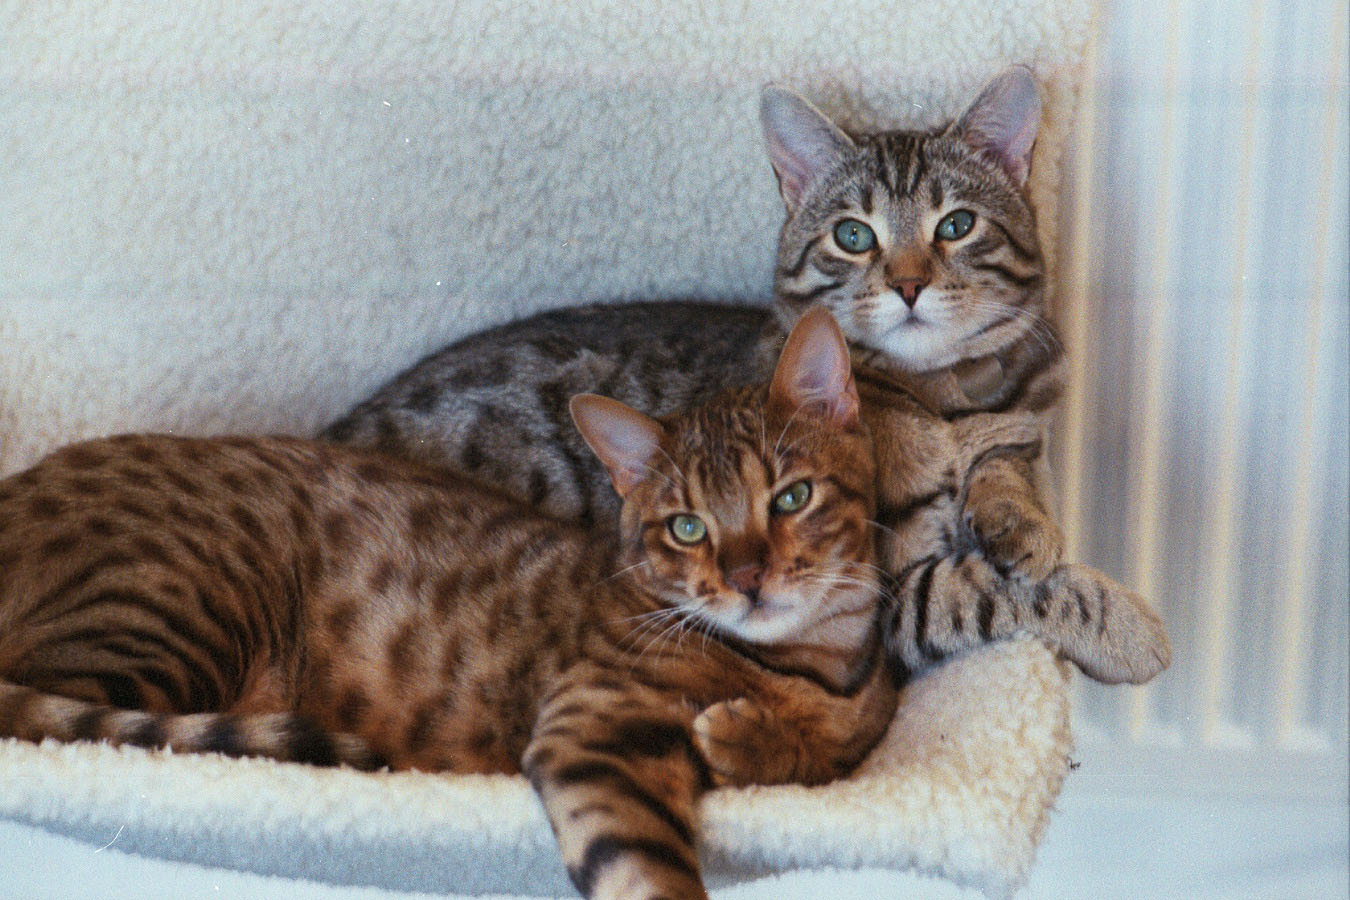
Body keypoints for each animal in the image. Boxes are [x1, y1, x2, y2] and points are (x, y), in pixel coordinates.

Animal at [0, 306, 1063, 895]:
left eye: (791, 498)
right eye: (686, 527)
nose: (750, 576)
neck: (816, 658)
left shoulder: (857, 716)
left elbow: (831, 745)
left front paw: (756, 735)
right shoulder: (593, 727)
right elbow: (648, 870)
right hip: (171, 616)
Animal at [326, 70, 1171, 685]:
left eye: (957, 225)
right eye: (853, 235)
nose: (907, 284)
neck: (943, 398)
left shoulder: (1019, 422)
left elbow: (1008, 468)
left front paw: (1020, 521)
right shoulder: (884, 589)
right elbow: (985, 590)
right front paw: (1127, 627)